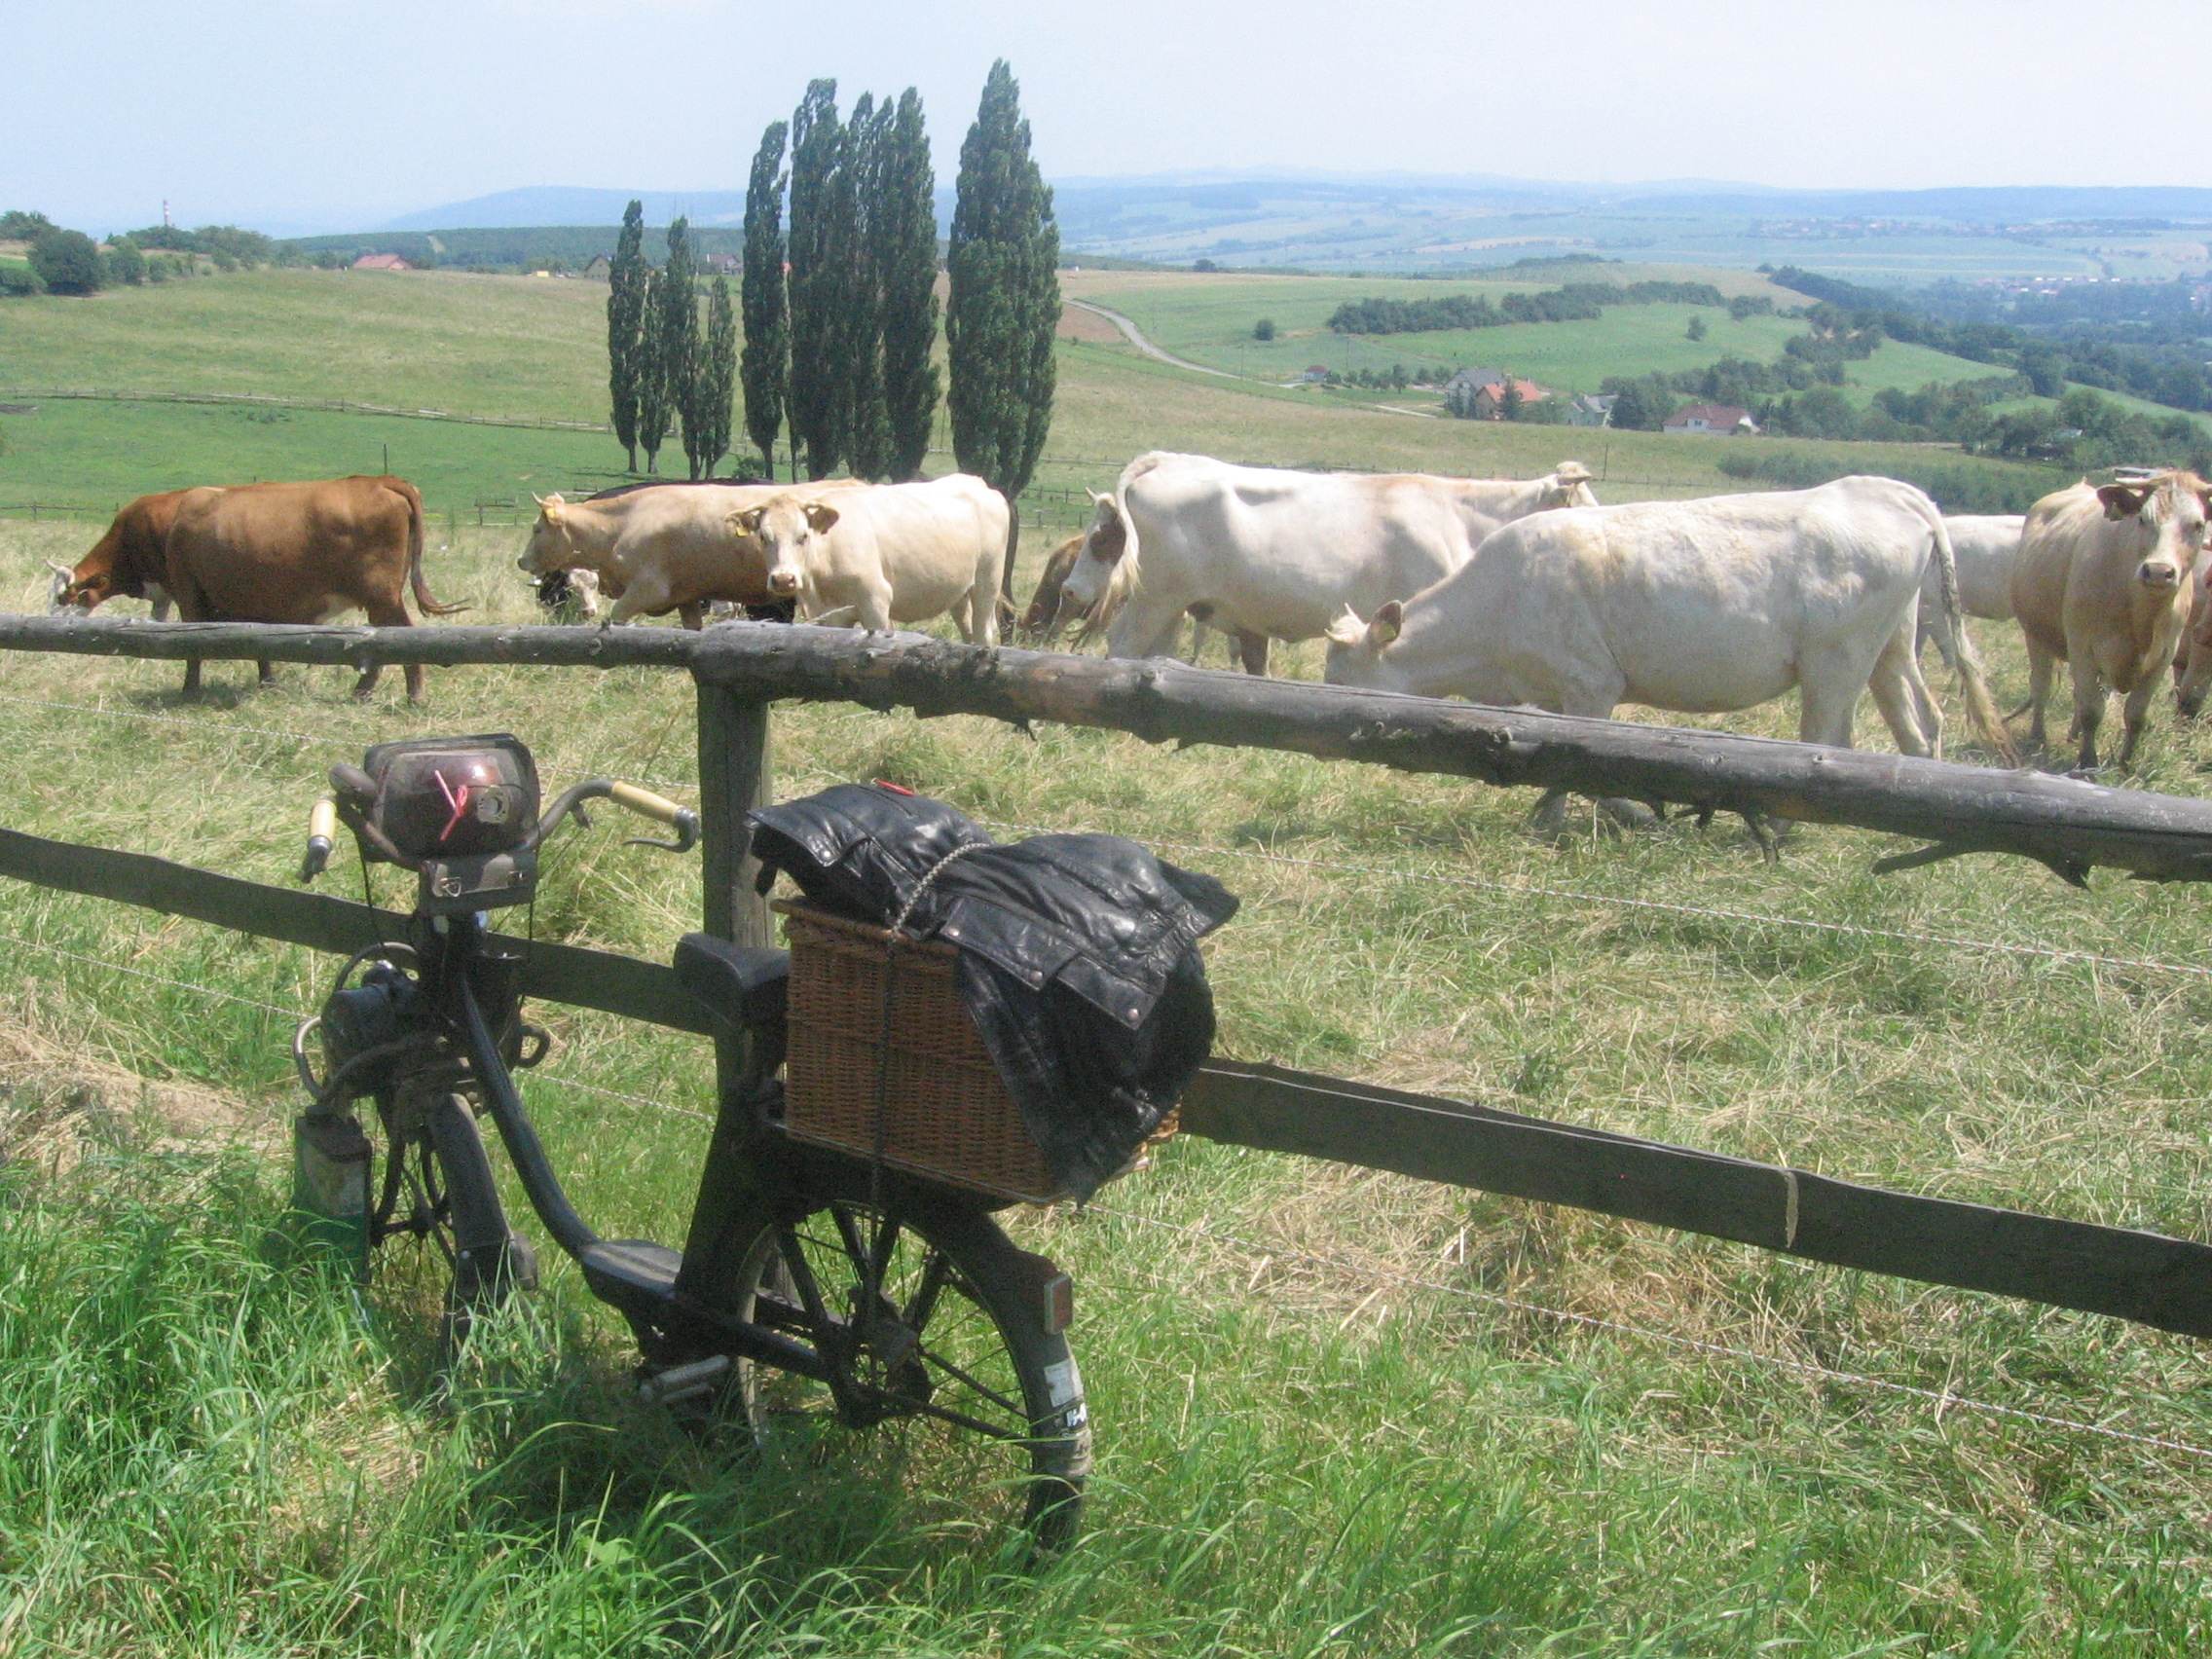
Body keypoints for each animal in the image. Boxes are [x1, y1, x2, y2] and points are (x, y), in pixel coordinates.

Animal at [153, 475, 464, 701]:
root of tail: (381, 480)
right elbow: (259, 645)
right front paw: (268, 684)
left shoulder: (190, 597)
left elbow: (193, 650)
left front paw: (190, 689)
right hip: (381, 601)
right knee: (381, 640)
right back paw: (365, 692)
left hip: (382, 597)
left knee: (400, 637)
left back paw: (411, 695)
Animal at [516, 480, 859, 628]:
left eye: (536, 529)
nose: (521, 560)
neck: (623, 522)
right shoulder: (687, 598)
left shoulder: (647, 590)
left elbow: (617, 620)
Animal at [727, 474, 1010, 644]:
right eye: (763, 537)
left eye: (803, 536)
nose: (784, 579)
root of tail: (976, 481)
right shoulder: (825, 614)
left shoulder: (876, 600)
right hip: (959, 591)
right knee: (968, 630)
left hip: (988, 582)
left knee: (984, 632)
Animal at [1054, 452, 1600, 671]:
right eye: (1583, 503)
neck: (1460, 518)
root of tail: (1168, 460)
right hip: (1157, 599)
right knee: (1125, 645)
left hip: (1174, 606)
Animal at [2010, 471, 2211, 770]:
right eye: (2142, 519)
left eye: (2197, 525)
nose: (2158, 572)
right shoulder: (2082, 648)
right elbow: (2092, 710)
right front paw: (2088, 762)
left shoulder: (2163, 657)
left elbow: (2137, 714)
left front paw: (2125, 764)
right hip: (2036, 635)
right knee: (2042, 687)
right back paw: (2039, 736)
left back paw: (2073, 735)